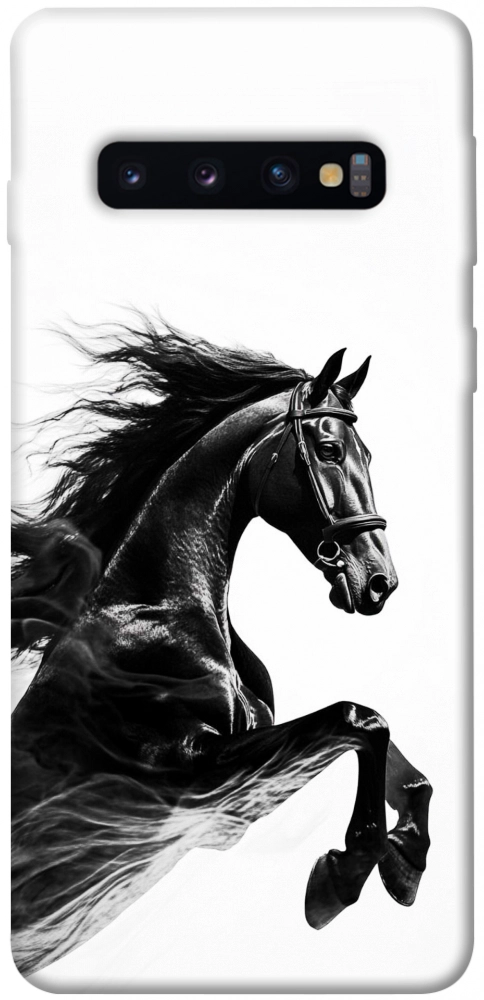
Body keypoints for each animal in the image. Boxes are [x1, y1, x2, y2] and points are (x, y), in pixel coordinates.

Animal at [11, 320, 432, 975]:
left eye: (366, 454)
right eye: (329, 450)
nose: (379, 582)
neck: (158, 614)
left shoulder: (235, 795)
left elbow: (397, 762)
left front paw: (405, 863)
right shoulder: (191, 777)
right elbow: (358, 719)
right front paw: (341, 877)